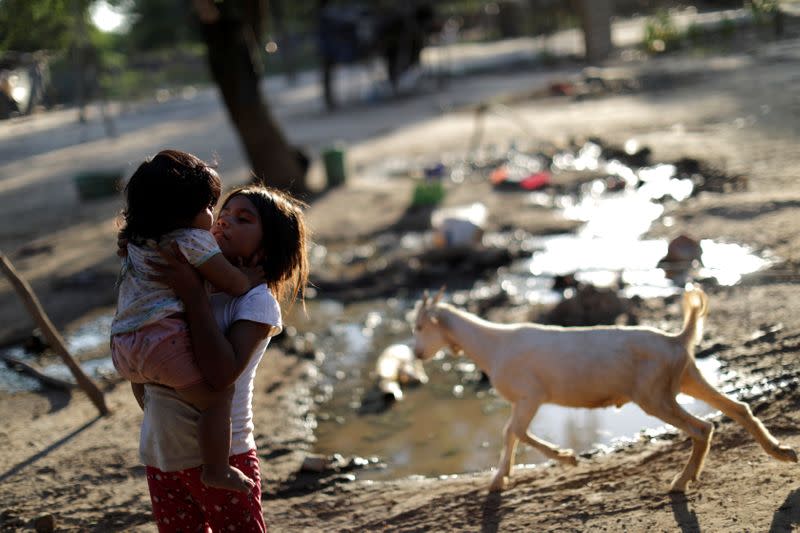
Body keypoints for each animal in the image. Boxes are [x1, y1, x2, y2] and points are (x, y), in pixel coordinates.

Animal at [410, 286, 796, 490]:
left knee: (703, 428)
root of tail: (677, 339)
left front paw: (559, 460)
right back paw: (782, 452)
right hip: (687, 378)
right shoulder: (527, 400)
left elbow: (512, 431)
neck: (493, 344)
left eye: (419, 326)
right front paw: (506, 476)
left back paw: (680, 482)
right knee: (738, 409)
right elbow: (512, 433)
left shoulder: (530, 396)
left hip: (654, 396)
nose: (415, 353)